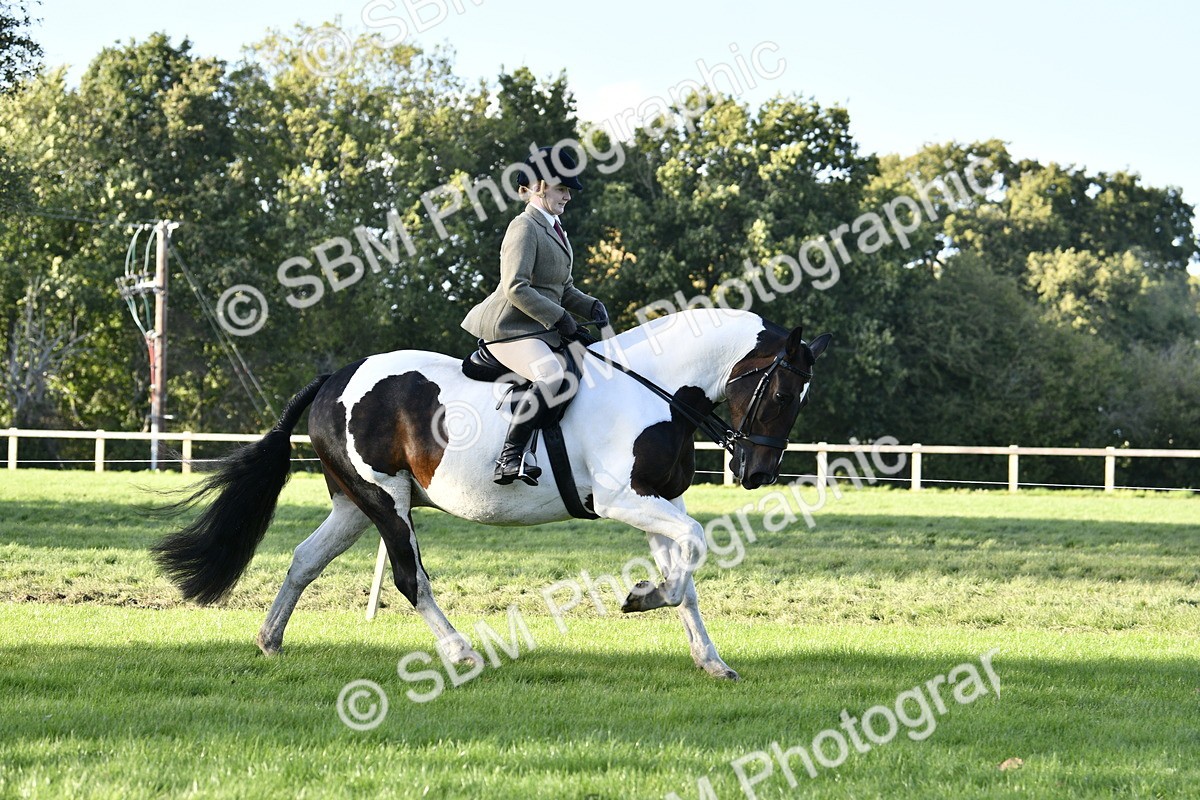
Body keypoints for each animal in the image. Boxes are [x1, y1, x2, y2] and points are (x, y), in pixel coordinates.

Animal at [152, 309, 831, 680]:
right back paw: (460, 652)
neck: (656, 390)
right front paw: (642, 598)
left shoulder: (660, 503)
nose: (756, 472)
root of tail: (333, 380)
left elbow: (685, 575)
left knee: (303, 561)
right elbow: (687, 555)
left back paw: (269, 640)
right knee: (411, 579)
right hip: (386, 503)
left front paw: (707, 656)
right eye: (779, 392)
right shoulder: (623, 501)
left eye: (801, 398)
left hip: (354, 504)